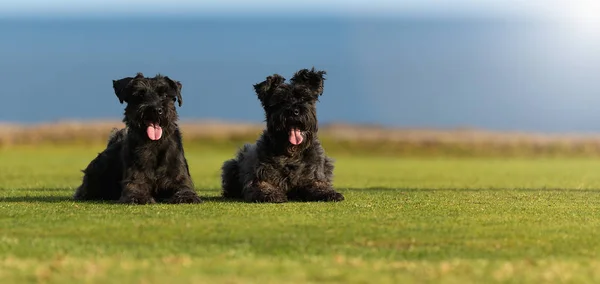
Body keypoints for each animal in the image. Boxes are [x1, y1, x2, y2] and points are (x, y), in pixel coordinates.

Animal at [74, 71, 202, 204]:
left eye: (165, 94)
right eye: (140, 94)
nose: (156, 109)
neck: (154, 144)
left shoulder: (179, 176)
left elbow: (184, 188)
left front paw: (186, 197)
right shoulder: (134, 178)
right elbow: (136, 187)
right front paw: (139, 197)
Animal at [221, 68, 344, 203]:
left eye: (304, 98)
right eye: (281, 101)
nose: (294, 112)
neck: (291, 154)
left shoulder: (314, 176)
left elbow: (320, 185)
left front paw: (330, 193)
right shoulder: (260, 178)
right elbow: (262, 186)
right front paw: (272, 194)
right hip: (231, 166)